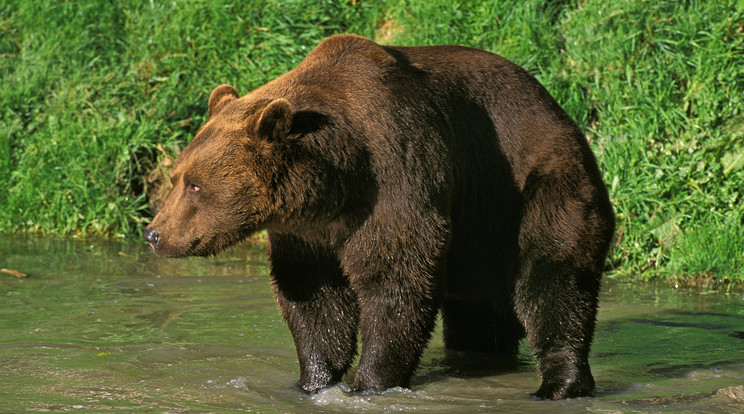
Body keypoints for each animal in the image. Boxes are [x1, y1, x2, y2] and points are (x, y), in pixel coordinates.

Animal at [142, 34, 612, 398]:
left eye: (195, 185)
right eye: (177, 176)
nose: (154, 233)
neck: (335, 183)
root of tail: (560, 111)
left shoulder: (396, 176)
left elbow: (395, 279)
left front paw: (368, 384)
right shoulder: (306, 234)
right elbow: (314, 299)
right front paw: (314, 380)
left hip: (535, 190)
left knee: (554, 281)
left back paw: (559, 385)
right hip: (480, 231)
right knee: (478, 314)